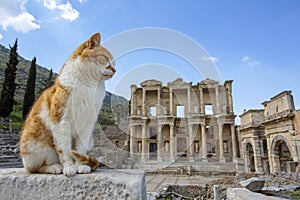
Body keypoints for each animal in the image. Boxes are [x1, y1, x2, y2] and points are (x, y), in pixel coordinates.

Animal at [19, 32, 115, 176]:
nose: (115, 70)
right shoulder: (61, 120)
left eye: (114, 63)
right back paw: (54, 167)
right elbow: (64, 149)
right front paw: (70, 167)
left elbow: (80, 149)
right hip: (39, 144)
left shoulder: (88, 124)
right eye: (105, 59)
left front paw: (81, 165)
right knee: (34, 168)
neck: (89, 85)